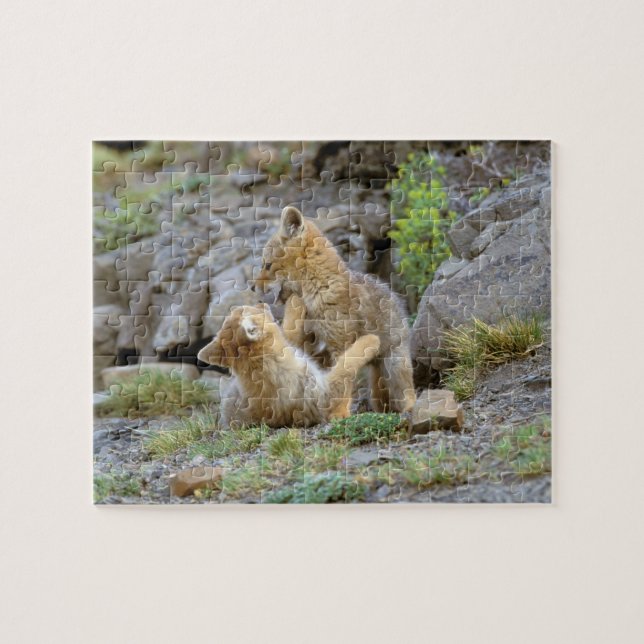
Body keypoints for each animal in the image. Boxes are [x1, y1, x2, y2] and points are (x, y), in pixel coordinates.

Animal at [197, 303, 381, 428]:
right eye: (251, 309)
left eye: (242, 308)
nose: (262, 303)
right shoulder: (324, 397)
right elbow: (346, 363)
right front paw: (371, 340)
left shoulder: (289, 346)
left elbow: (289, 327)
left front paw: (294, 302)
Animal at [254, 206, 416, 414]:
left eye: (267, 265)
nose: (252, 287)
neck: (319, 288)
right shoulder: (310, 345)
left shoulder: (340, 345)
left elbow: (344, 381)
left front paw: (340, 412)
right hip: (377, 382)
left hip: (394, 369)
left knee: (408, 394)